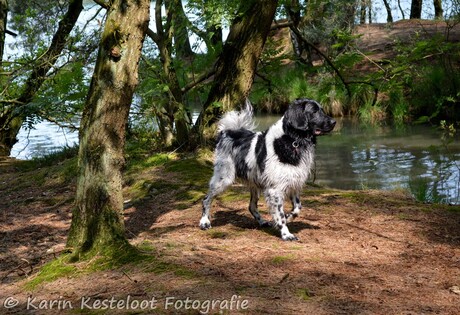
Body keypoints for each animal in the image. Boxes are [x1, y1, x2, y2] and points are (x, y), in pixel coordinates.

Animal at [199, 99, 336, 242]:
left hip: (255, 183)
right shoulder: (275, 189)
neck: (293, 141)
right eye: (314, 111)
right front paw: (286, 234)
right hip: (224, 178)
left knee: (252, 206)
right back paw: (204, 222)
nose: (334, 122)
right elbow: (280, 215)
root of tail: (228, 131)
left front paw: (288, 217)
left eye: (322, 109)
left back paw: (262, 221)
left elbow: (297, 208)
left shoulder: (293, 183)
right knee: (206, 199)